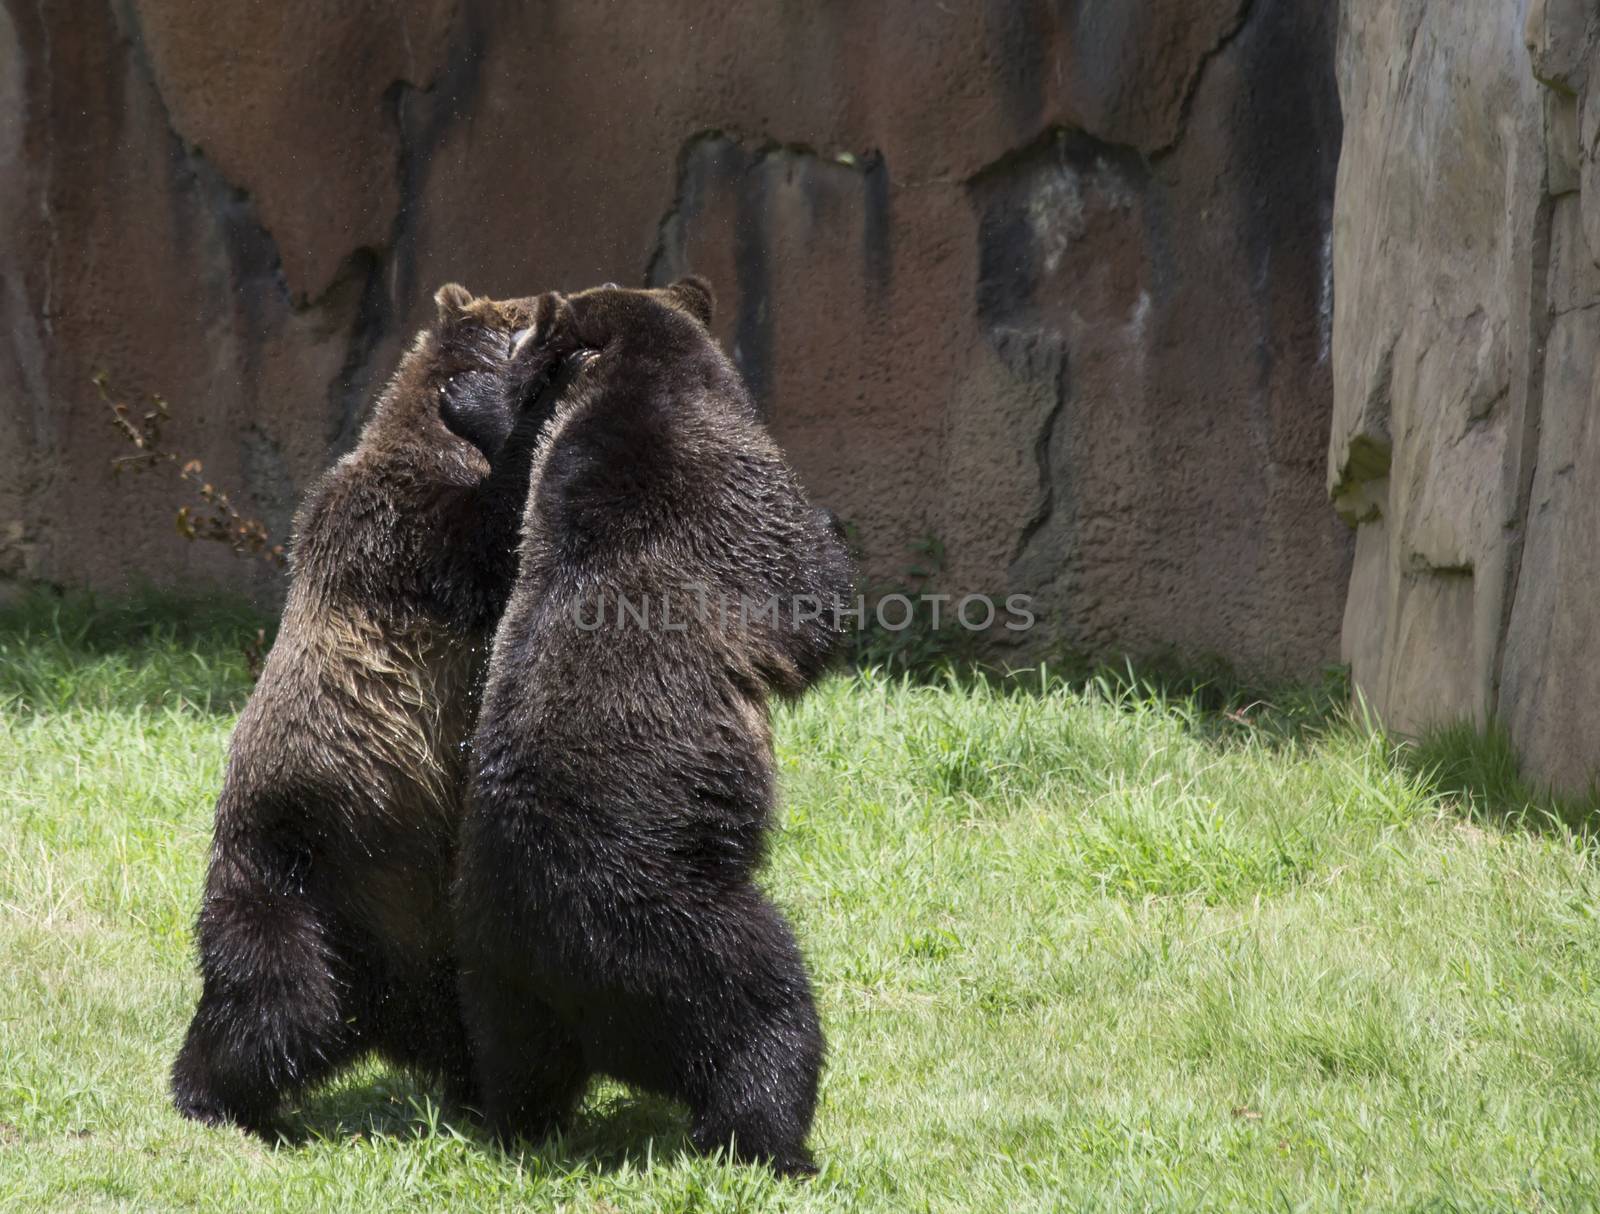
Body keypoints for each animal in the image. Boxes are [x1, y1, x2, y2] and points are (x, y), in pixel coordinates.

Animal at [172, 279, 560, 1132]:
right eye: (521, 309)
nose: (555, 303)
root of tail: (380, 1011)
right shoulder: (397, 533)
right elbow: (481, 539)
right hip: (299, 869)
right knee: (275, 1000)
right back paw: (214, 1096)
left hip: (426, 922)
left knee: (457, 1015)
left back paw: (485, 1093)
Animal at [451, 278, 857, 1177]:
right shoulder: (719, 497)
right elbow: (810, 599)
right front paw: (837, 532)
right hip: (670, 920)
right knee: (765, 1010)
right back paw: (778, 1144)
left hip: (498, 976)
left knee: (516, 1067)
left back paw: (512, 1123)